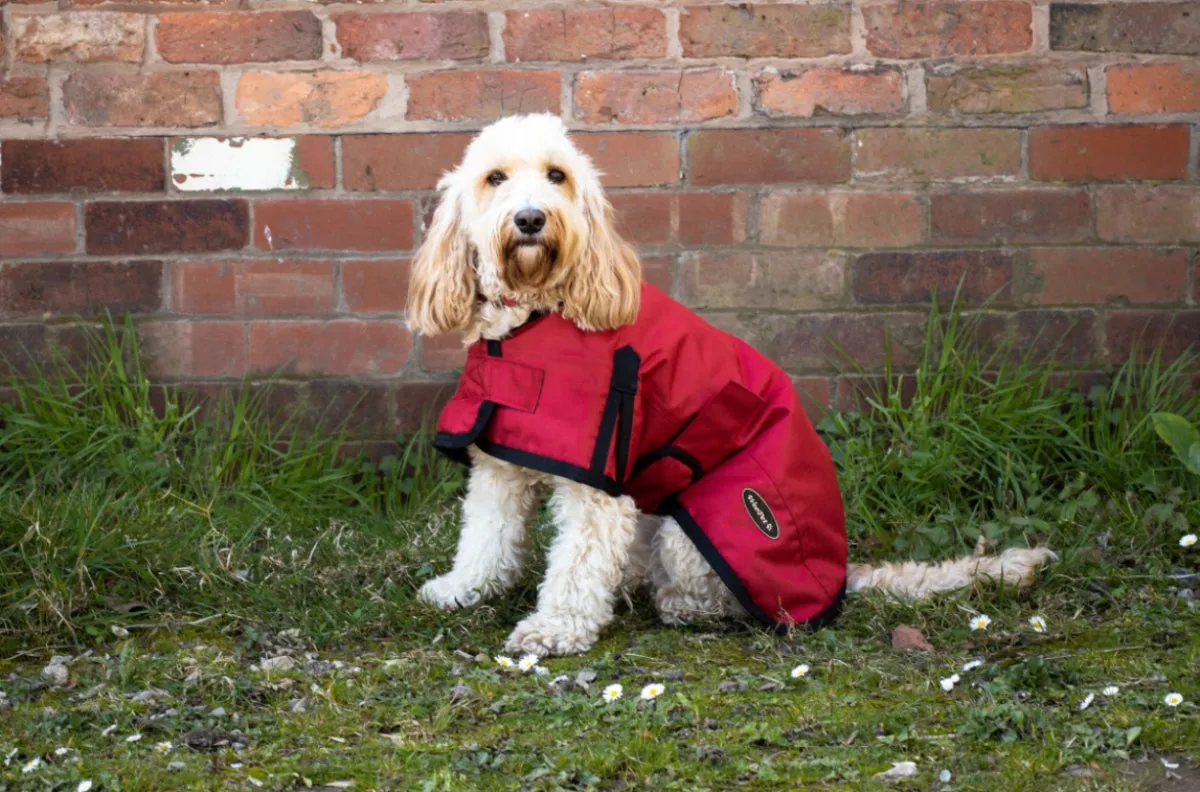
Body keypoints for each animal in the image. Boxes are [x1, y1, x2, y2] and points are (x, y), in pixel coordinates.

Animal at [400, 111, 1051, 657]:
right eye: (495, 178)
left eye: (557, 176)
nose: (531, 218)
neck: (531, 317)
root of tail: (844, 576)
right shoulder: (498, 464)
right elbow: (485, 536)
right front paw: (463, 588)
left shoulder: (598, 485)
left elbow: (578, 563)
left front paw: (553, 629)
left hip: (693, 524)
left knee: (710, 595)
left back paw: (677, 603)